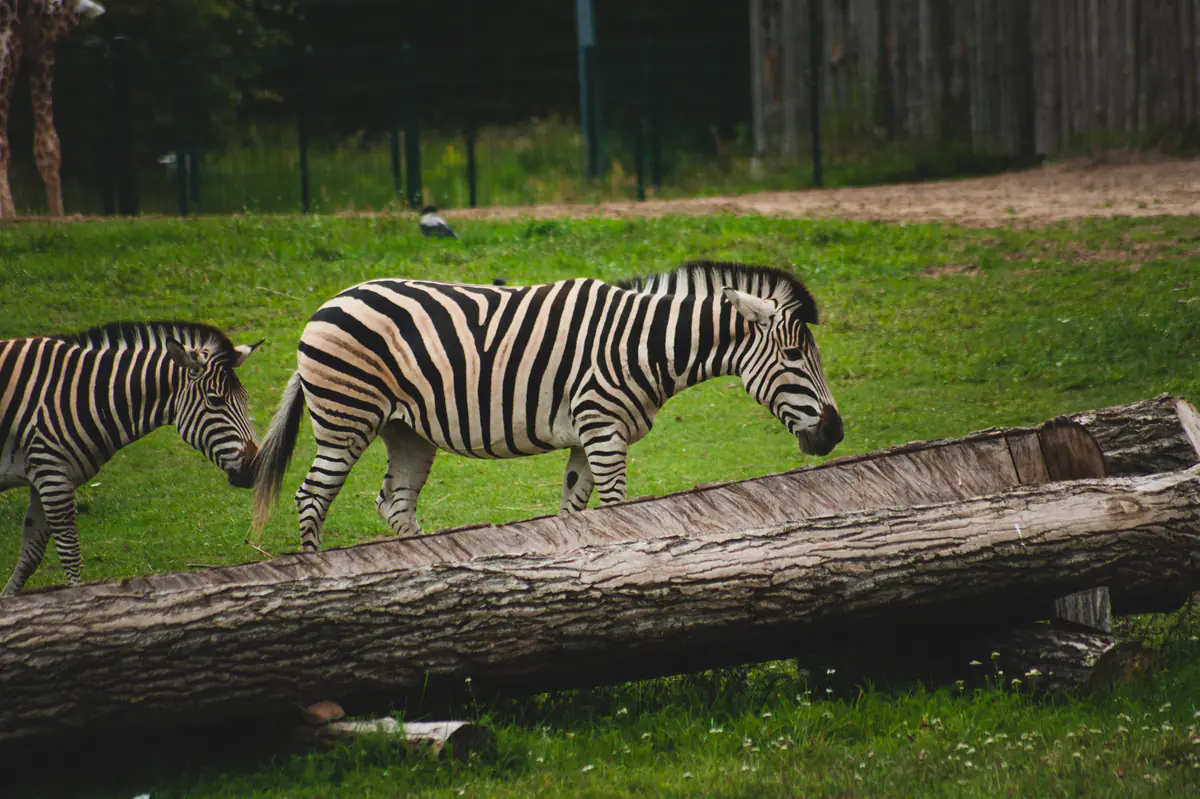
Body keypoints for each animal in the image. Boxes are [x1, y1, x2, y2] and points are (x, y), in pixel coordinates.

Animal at [0, 321, 262, 596]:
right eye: (215, 400)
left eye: (245, 398)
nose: (255, 467)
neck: (85, 395)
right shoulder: (53, 474)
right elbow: (70, 554)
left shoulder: (44, 476)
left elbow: (31, 554)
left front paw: (8, 599)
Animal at [253, 261, 843, 552]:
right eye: (795, 355)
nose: (835, 433)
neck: (644, 343)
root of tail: (327, 303)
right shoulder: (603, 430)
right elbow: (618, 509)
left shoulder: (590, 436)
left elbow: (573, 514)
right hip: (345, 419)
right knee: (311, 497)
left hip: (407, 432)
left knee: (394, 503)